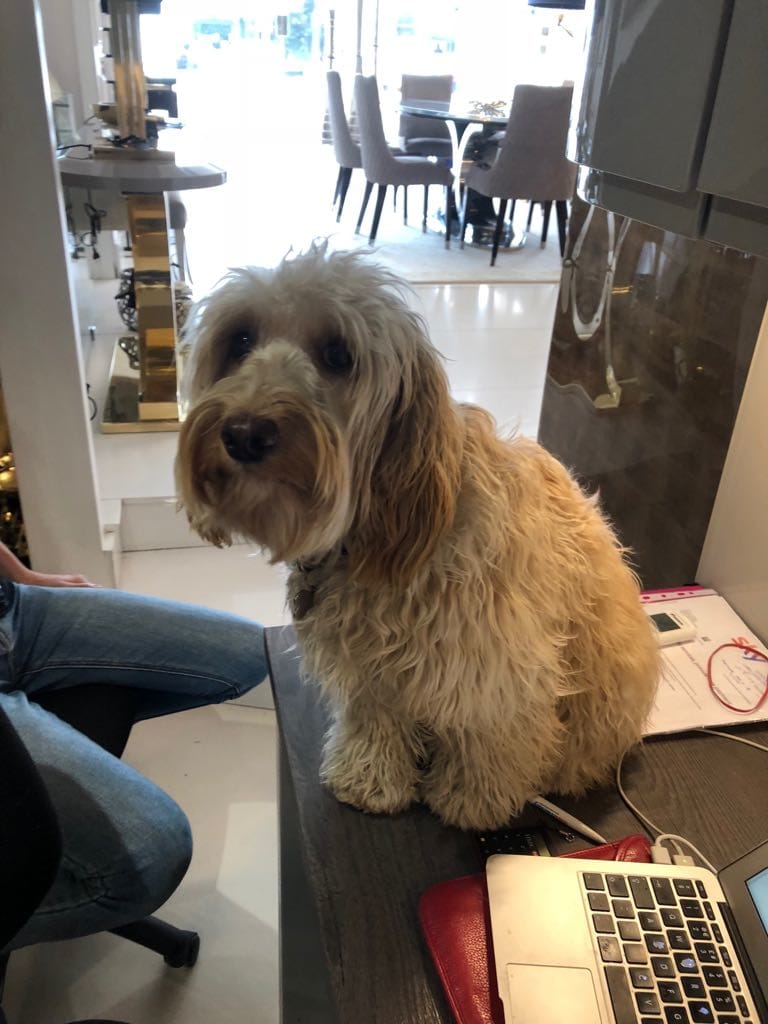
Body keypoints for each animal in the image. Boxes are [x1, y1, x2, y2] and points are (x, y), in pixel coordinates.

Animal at [177, 241, 659, 831]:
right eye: (240, 339)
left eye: (338, 353)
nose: (244, 433)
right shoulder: (370, 669)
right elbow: (374, 719)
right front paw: (369, 779)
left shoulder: (497, 662)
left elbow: (489, 734)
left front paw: (474, 798)